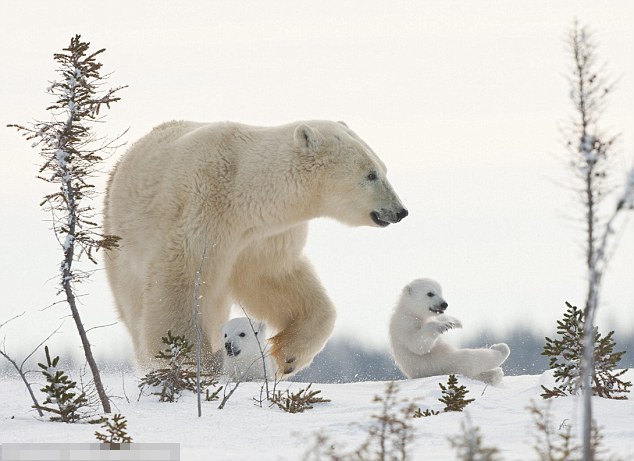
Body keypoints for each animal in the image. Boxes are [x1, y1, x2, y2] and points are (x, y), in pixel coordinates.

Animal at [103, 120, 404, 376]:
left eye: (384, 169)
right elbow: (181, 280)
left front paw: (287, 355)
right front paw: (196, 362)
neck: (244, 190)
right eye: (371, 174)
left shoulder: (263, 237)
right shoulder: (201, 213)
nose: (400, 211)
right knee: (135, 306)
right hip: (123, 245)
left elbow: (272, 278)